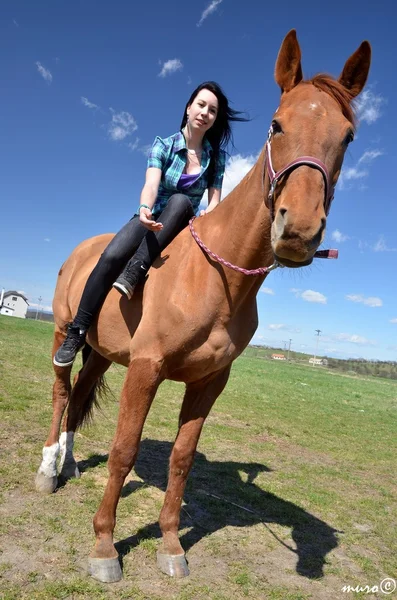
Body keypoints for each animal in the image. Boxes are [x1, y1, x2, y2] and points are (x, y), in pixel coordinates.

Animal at [34, 29, 372, 580]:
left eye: (346, 137)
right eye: (277, 124)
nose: (298, 230)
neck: (217, 279)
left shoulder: (209, 382)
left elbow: (182, 460)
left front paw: (171, 545)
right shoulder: (146, 368)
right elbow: (124, 451)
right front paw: (105, 546)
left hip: (104, 353)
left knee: (79, 395)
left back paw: (67, 460)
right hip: (66, 332)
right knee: (63, 392)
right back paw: (47, 469)